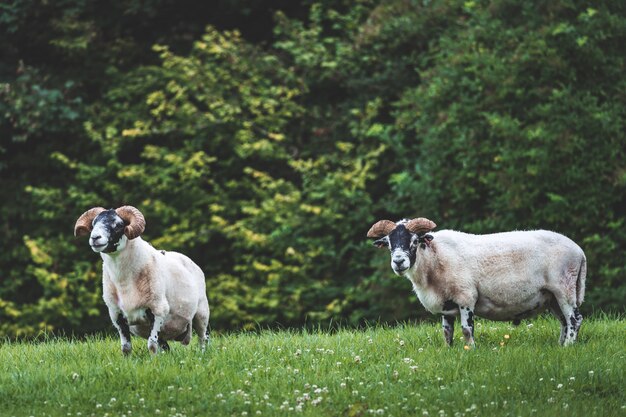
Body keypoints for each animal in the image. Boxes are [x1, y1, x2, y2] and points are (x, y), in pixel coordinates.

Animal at [73, 204, 210, 352]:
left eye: (118, 225)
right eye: (93, 224)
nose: (95, 238)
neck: (124, 281)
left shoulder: (158, 309)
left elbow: (151, 345)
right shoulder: (117, 315)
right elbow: (126, 347)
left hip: (202, 312)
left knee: (203, 339)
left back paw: (203, 354)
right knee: (166, 346)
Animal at [366, 216, 584, 346]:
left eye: (414, 242)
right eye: (389, 244)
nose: (398, 262)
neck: (435, 258)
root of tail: (579, 252)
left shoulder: (466, 297)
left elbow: (466, 329)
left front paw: (470, 350)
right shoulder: (445, 303)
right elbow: (447, 331)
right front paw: (449, 350)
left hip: (564, 287)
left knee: (574, 319)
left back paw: (567, 347)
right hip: (551, 296)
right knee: (565, 321)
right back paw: (560, 344)